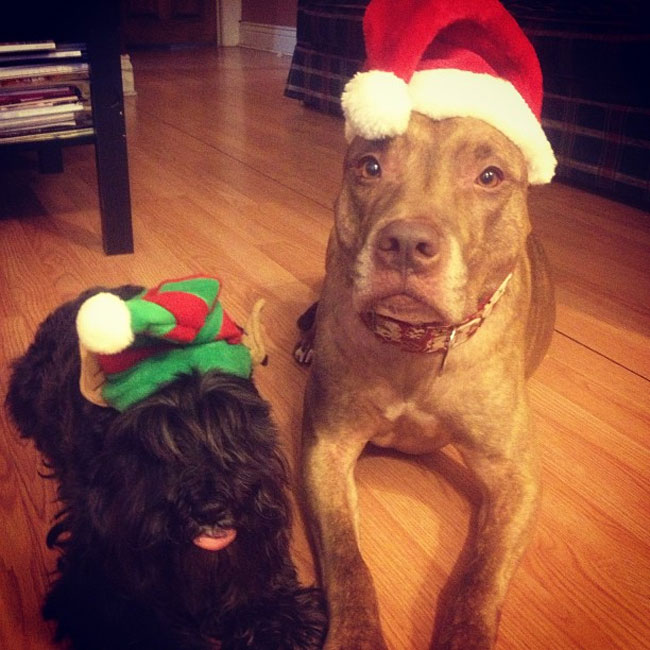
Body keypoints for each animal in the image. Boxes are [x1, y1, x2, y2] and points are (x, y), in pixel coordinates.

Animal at [296, 112, 556, 648]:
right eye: (369, 166)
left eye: (490, 176)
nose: (406, 245)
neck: (415, 345)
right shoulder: (327, 448)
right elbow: (347, 559)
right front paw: (356, 636)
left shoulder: (515, 476)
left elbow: (481, 579)